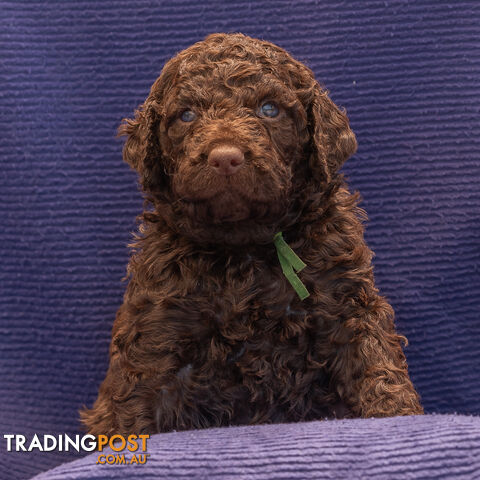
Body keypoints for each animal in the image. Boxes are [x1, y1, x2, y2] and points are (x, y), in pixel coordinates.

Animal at [80, 31, 422, 434]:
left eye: (269, 109)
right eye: (186, 115)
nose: (225, 157)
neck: (245, 251)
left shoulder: (347, 303)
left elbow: (375, 364)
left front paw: (397, 415)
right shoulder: (158, 326)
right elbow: (134, 399)